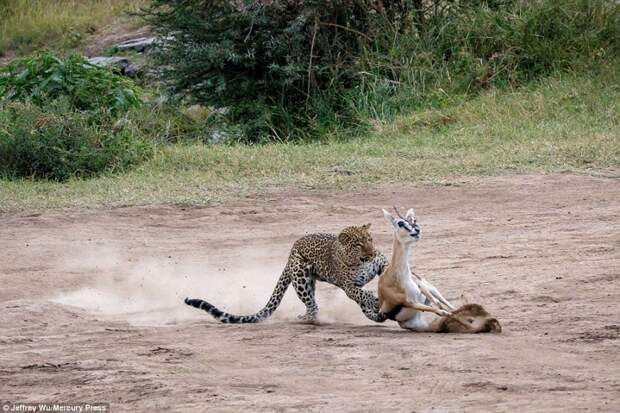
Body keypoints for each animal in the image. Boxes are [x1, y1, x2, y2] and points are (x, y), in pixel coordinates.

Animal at [183, 222, 388, 322]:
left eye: (370, 239)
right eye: (358, 244)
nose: (371, 253)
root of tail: (291, 251)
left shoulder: (381, 263)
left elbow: (383, 272)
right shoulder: (349, 286)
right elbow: (362, 295)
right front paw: (376, 300)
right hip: (301, 279)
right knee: (312, 306)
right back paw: (308, 319)